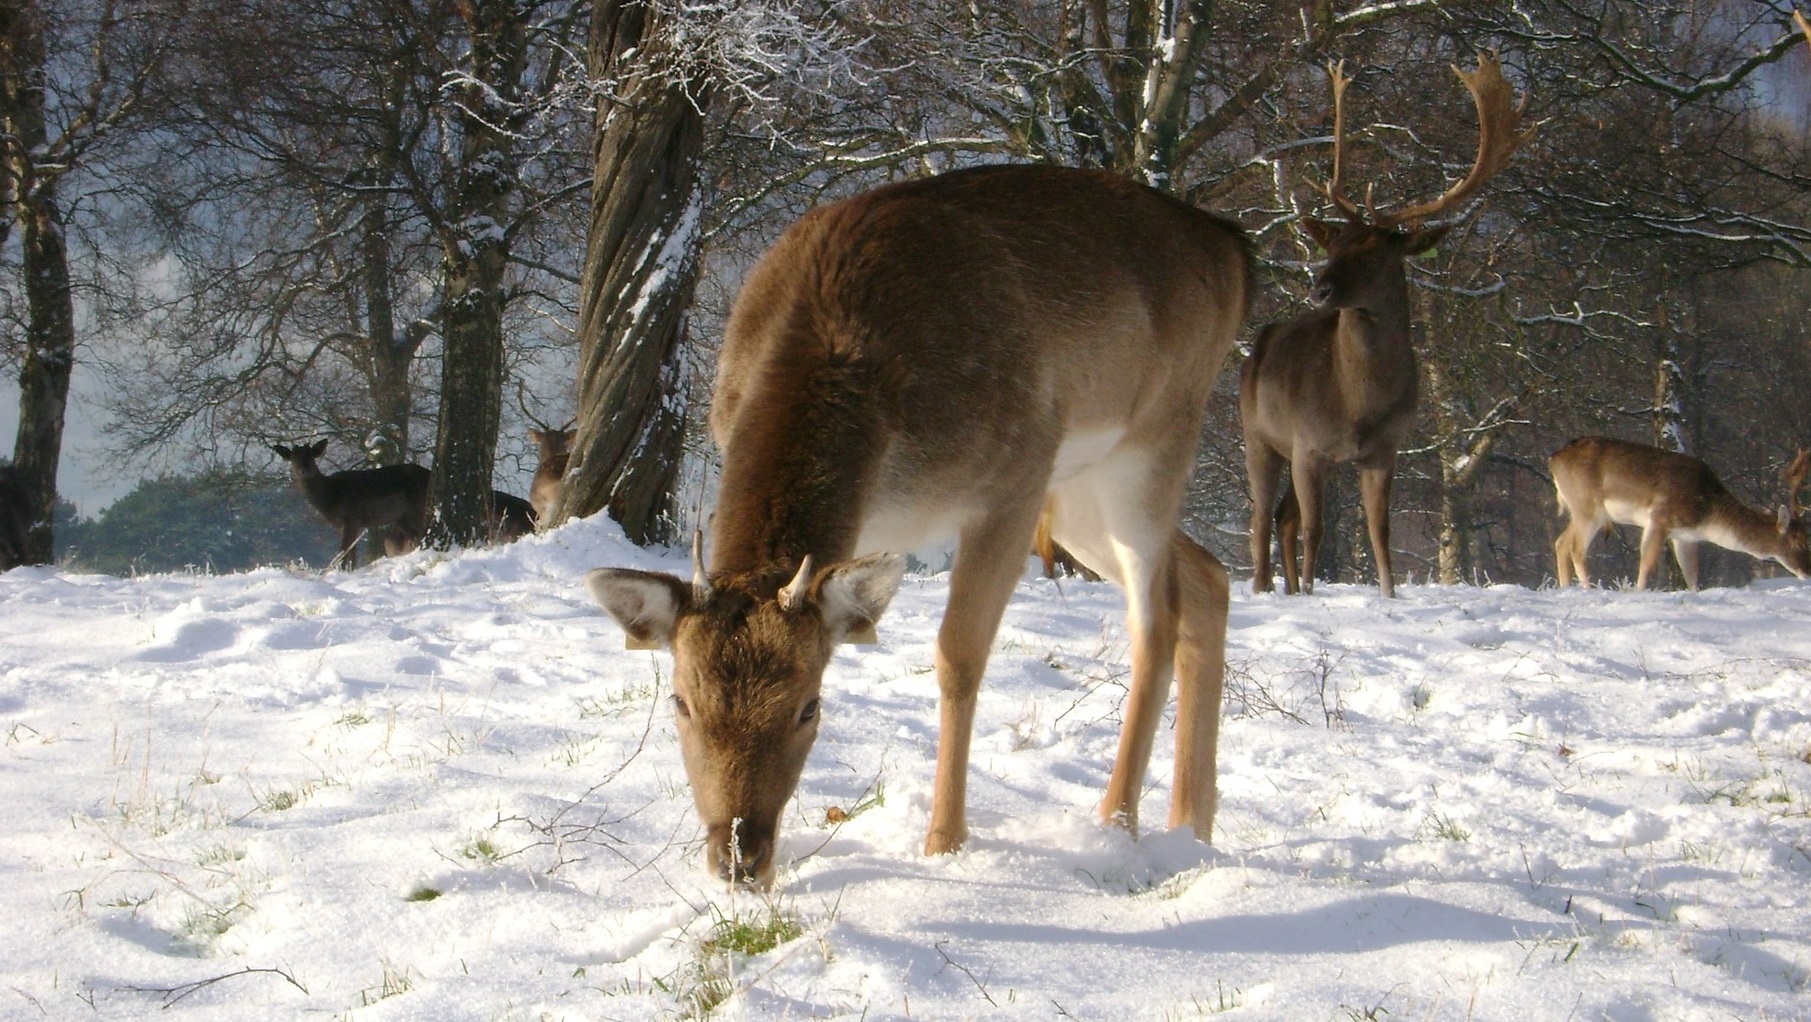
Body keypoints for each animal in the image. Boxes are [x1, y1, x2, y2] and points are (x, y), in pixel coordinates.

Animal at [268, 438, 431, 565]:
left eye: (311, 457)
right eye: (293, 458)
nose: (304, 471)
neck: (330, 496)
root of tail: (429, 473)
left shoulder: (350, 518)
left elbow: (343, 553)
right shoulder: (347, 525)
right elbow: (350, 555)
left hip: (417, 508)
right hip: (402, 518)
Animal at [586, 163, 1253, 891]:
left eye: (809, 705)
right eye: (681, 702)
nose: (739, 857)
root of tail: (1230, 245)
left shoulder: (1014, 476)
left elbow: (957, 656)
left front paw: (944, 844)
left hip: (1153, 438)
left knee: (1154, 619)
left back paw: (1115, 826)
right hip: (1080, 487)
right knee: (1207, 577)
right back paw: (1192, 829)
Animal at [1253, 53, 1535, 597]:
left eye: (1376, 254)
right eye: (1334, 246)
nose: (1320, 289)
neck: (1358, 402)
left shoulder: (1386, 448)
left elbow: (1378, 528)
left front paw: (1386, 594)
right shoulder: (1308, 443)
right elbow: (1317, 529)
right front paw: (1314, 592)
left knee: (1282, 517)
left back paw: (1289, 587)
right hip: (1258, 435)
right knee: (1261, 517)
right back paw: (1263, 587)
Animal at [1542, 433, 1811, 590]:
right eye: (1799, 542)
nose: (1808, 572)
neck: (1707, 514)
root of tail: (1553, 459)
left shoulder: (1686, 537)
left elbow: (1691, 574)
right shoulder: (1660, 519)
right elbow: (1648, 562)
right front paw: (1638, 593)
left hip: (1582, 511)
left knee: (1560, 543)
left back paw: (1566, 588)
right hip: (1588, 508)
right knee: (1575, 547)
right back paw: (1587, 590)